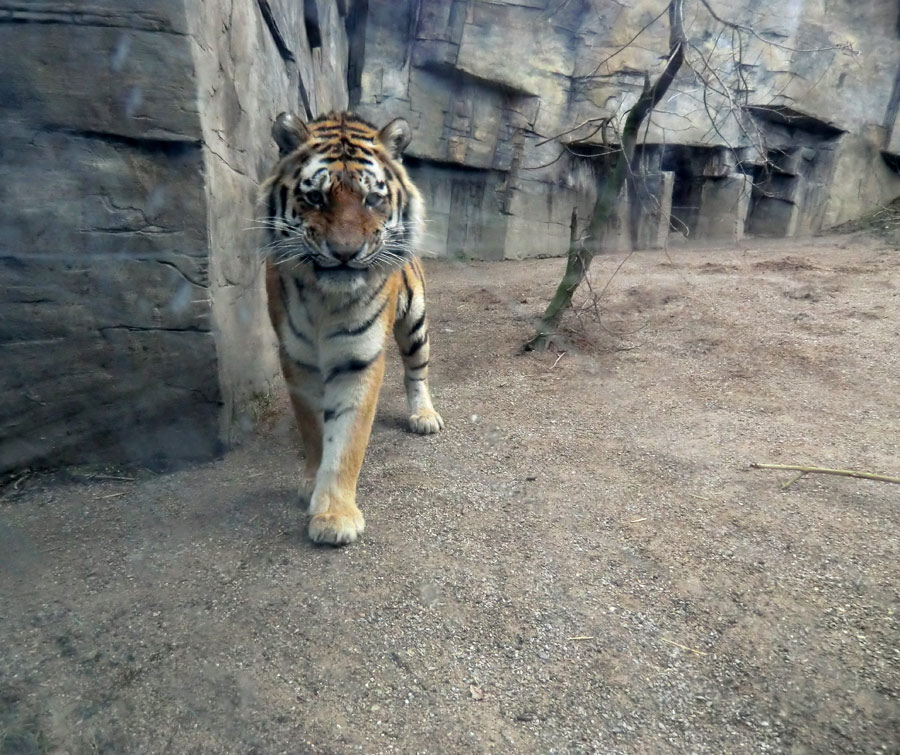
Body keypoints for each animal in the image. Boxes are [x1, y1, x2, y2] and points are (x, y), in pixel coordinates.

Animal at [260, 110, 442, 544]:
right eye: (315, 197)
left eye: (372, 199)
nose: (345, 253)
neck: (325, 299)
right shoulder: (297, 358)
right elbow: (313, 427)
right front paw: (313, 486)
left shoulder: (359, 358)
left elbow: (348, 438)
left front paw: (335, 516)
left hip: (415, 324)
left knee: (417, 371)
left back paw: (424, 416)